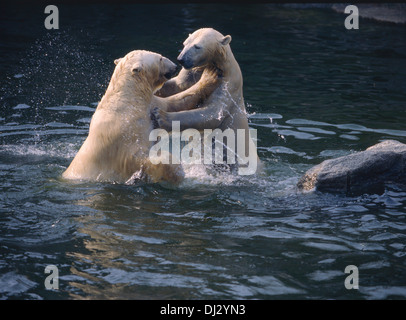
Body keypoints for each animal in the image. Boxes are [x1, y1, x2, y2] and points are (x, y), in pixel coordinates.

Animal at [63, 50, 220, 185]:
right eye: (160, 58)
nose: (175, 66)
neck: (127, 101)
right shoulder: (126, 134)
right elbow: (142, 158)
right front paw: (177, 172)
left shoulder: (148, 105)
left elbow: (173, 103)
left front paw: (210, 75)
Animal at [152, 27, 260, 175]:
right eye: (185, 43)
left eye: (197, 46)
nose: (181, 59)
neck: (220, 67)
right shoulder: (193, 74)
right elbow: (178, 85)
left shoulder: (227, 86)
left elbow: (211, 114)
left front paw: (161, 116)